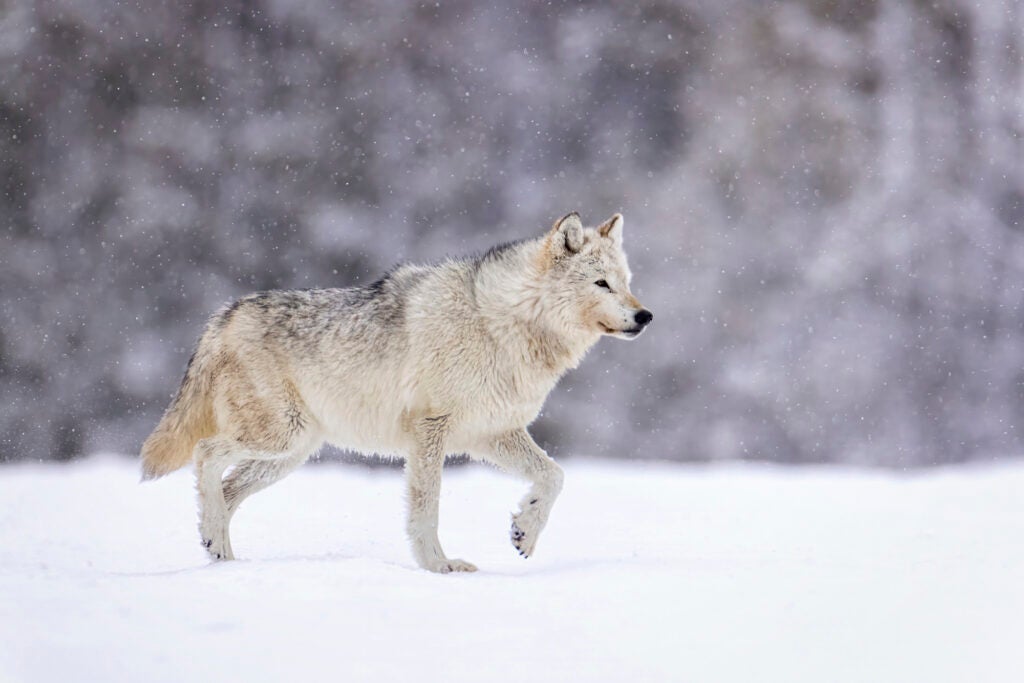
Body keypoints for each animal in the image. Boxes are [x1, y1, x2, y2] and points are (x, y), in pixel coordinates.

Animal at [140, 212, 652, 572]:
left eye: (627, 283)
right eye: (601, 283)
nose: (645, 316)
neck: (503, 325)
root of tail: (223, 314)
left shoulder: (491, 433)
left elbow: (554, 476)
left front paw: (524, 530)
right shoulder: (432, 429)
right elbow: (427, 508)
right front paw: (439, 567)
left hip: (288, 454)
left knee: (225, 494)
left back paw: (221, 558)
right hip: (280, 437)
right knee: (205, 455)